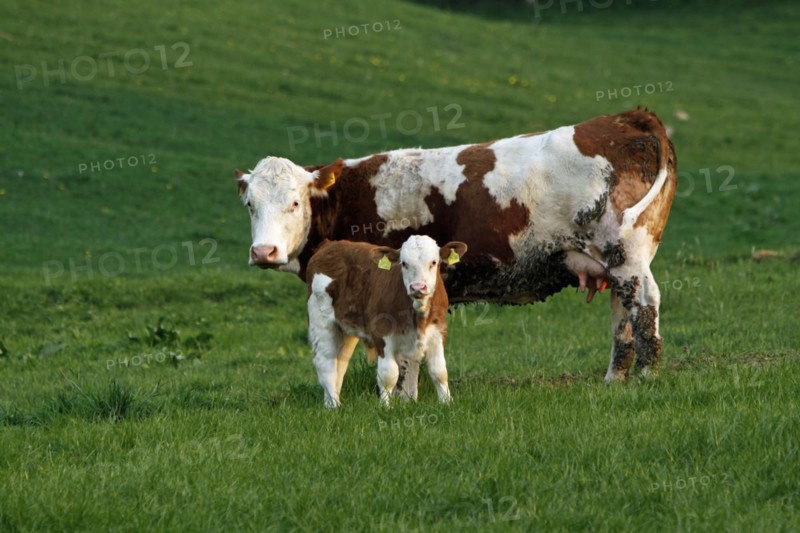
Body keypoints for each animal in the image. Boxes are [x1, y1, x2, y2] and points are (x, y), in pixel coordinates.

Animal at [236, 108, 677, 383]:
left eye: (295, 202)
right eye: (249, 204)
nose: (263, 252)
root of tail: (627, 117)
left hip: (625, 253)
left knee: (644, 303)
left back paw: (646, 375)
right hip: (613, 261)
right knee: (622, 311)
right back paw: (614, 378)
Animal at [306, 236, 467, 408]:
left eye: (434, 262)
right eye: (404, 263)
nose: (418, 287)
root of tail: (329, 244)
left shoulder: (438, 330)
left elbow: (439, 371)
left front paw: (447, 403)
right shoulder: (382, 331)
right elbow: (388, 374)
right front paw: (385, 407)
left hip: (345, 330)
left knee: (341, 362)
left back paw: (332, 402)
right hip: (320, 320)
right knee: (325, 361)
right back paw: (333, 405)